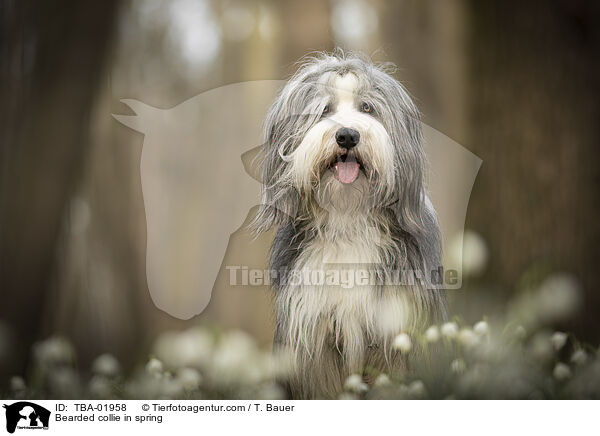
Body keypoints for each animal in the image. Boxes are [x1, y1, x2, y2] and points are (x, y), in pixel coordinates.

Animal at [252, 51, 446, 398]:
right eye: (324, 109)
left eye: (367, 107)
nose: (347, 135)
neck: (349, 218)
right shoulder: (314, 339)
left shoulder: (398, 333)